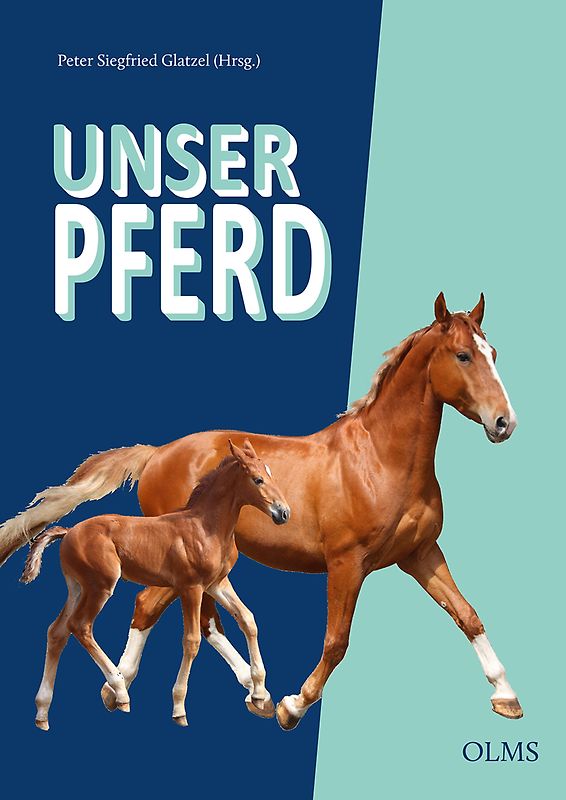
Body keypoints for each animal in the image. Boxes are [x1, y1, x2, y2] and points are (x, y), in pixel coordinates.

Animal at [21, 439, 290, 731]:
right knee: (80, 626)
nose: (283, 512)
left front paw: (260, 693)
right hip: (100, 586)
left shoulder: (217, 584)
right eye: (258, 479)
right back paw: (120, 692)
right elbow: (192, 641)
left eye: (271, 474)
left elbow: (248, 620)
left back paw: (42, 712)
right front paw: (179, 708)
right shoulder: (191, 587)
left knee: (56, 631)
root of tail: (68, 532)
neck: (206, 526)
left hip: (76, 588)